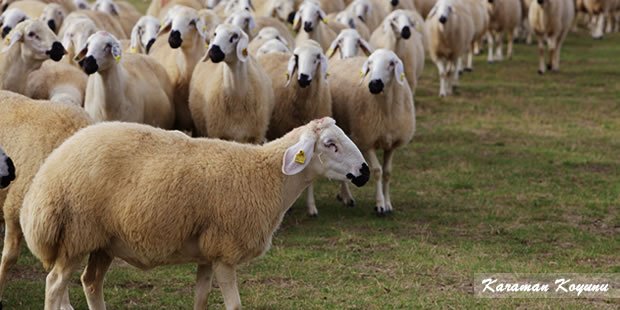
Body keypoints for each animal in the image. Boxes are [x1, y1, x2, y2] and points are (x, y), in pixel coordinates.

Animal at [19, 118, 368, 310]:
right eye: (330, 143)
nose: (364, 172)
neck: (267, 177)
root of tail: (46, 174)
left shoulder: (207, 254)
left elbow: (200, 300)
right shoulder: (226, 252)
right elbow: (234, 305)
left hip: (103, 243)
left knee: (90, 283)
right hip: (75, 235)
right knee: (54, 285)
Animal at [326, 49, 414, 217]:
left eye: (391, 63)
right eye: (370, 63)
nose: (374, 84)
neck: (386, 109)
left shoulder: (391, 144)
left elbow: (387, 172)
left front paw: (388, 203)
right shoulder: (366, 141)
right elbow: (377, 171)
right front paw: (380, 205)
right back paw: (347, 197)